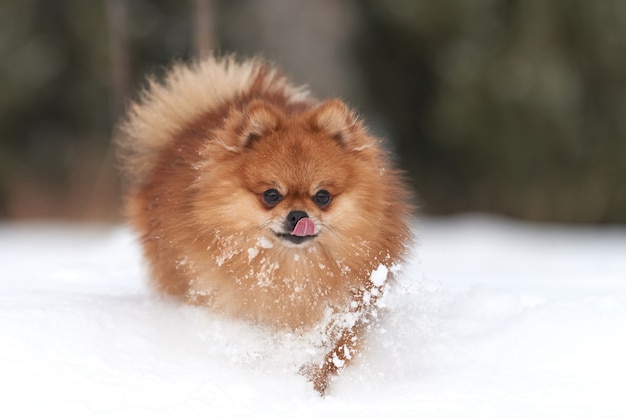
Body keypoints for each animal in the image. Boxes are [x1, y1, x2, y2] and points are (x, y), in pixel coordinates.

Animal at [115, 54, 412, 394]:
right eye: (271, 195)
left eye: (322, 196)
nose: (299, 216)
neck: (291, 271)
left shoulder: (342, 316)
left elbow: (328, 354)